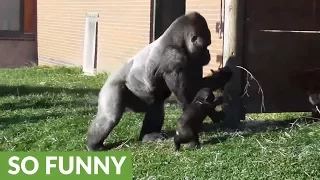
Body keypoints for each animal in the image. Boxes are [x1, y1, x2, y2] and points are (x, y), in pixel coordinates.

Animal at [87, 11, 222, 151]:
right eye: (206, 44)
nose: (208, 53)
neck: (178, 40)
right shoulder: (174, 55)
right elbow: (188, 96)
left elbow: (198, 87)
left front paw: (224, 75)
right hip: (111, 87)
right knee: (109, 117)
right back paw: (94, 145)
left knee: (156, 105)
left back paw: (148, 136)